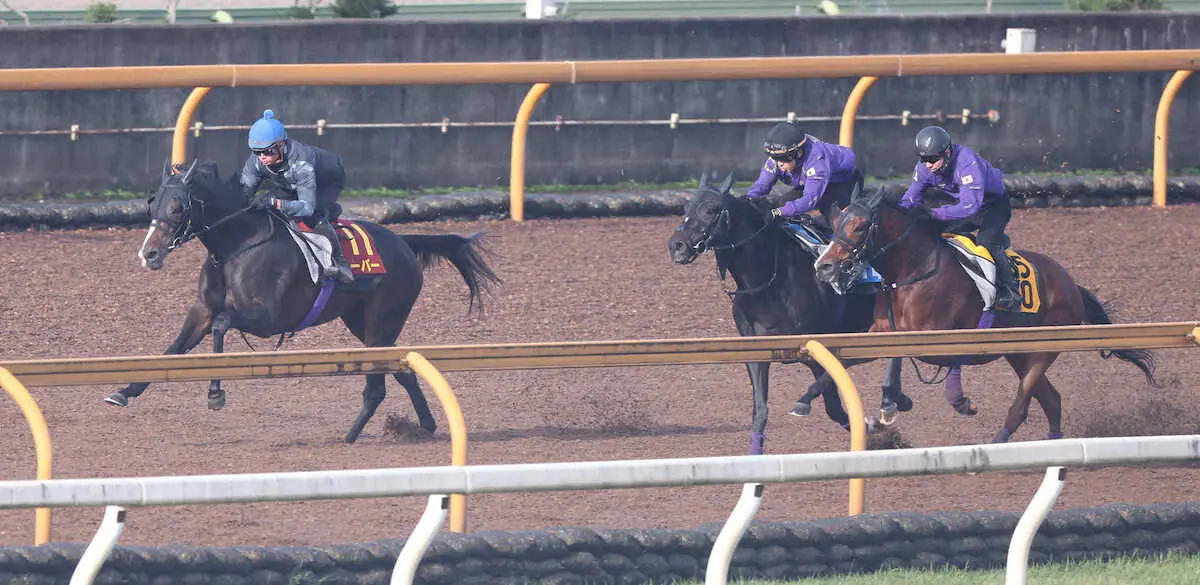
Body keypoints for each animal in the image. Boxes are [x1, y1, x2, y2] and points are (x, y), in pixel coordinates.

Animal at [103, 158, 496, 441]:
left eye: (177, 207)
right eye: (151, 203)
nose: (149, 253)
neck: (236, 246)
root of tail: (404, 242)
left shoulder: (268, 318)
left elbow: (221, 326)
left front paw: (215, 394)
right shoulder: (202, 311)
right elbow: (173, 349)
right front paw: (124, 391)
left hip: (381, 322)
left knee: (377, 385)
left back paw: (350, 436)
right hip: (364, 323)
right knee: (402, 368)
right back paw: (423, 426)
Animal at [667, 171, 907, 455]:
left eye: (712, 209)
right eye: (686, 207)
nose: (677, 245)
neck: (769, 282)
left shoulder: (819, 351)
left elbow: (833, 406)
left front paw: (874, 430)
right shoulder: (756, 353)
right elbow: (761, 411)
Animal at [811, 187, 1156, 443]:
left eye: (859, 226)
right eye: (835, 223)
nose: (824, 266)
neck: (912, 272)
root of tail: (1071, 284)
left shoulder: (933, 340)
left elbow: (896, 363)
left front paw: (891, 404)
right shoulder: (878, 334)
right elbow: (842, 361)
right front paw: (809, 397)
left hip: (1044, 347)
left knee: (1023, 404)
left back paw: (999, 443)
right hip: (1018, 353)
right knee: (1052, 399)